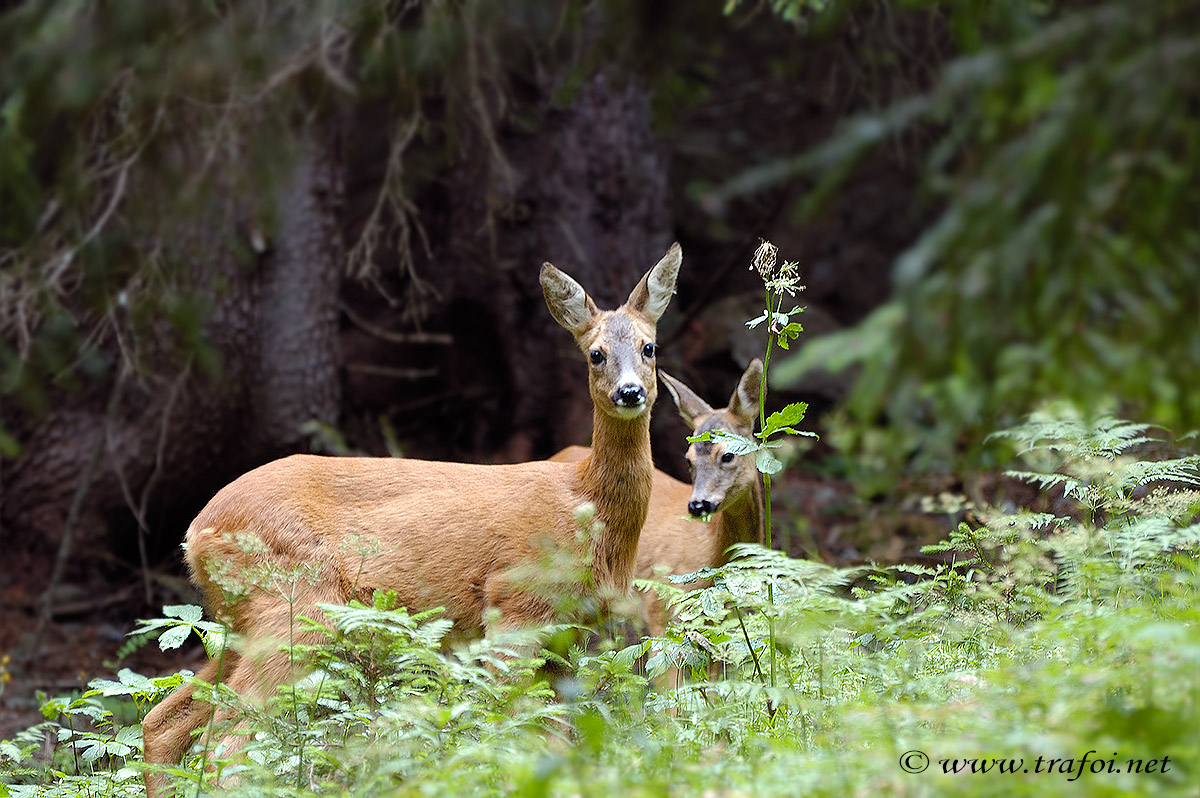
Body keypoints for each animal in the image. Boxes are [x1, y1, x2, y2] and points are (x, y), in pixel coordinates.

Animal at [139, 242, 681, 796]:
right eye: (595, 353)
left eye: (649, 347)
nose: (630, 392)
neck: (585, 504)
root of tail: (196, 533)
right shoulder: (515, 600)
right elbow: (513, 724)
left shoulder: (566, 630)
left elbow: (553, 736)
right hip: (295, 604)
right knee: (228, 738)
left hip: (244, 620)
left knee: (165, 720)